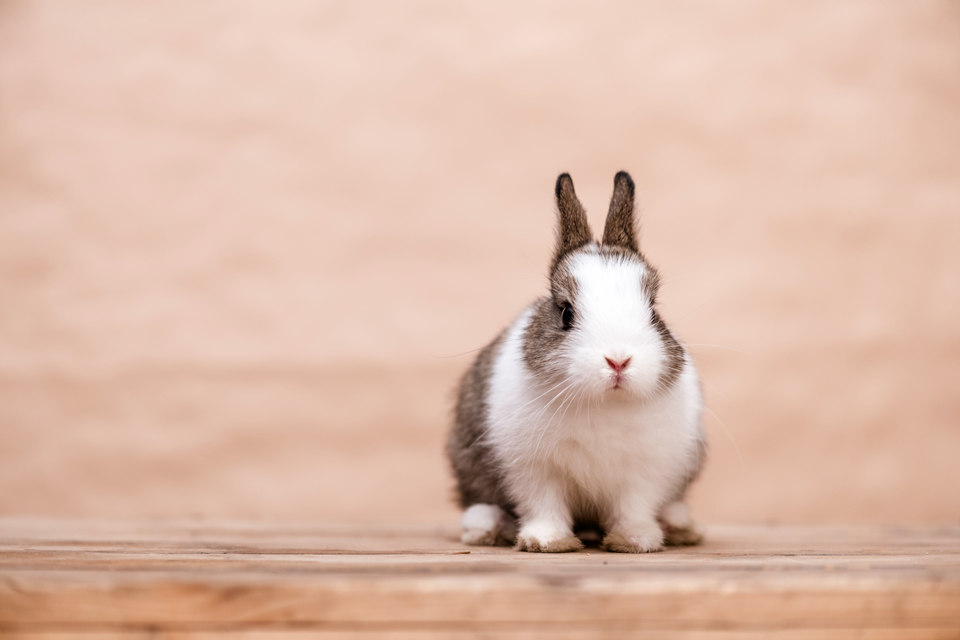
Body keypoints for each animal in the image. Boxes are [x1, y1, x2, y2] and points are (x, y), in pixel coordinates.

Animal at [446, 171, 706, 553]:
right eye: (566, 312)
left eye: (653, 311)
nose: (618, 360)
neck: (603, 403)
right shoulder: (533, 469)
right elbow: (544, 503)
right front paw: (546, 541)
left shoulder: (645, 472)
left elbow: (633, 506)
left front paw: (635, 540)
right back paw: (486, 526)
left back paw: (679, 523)